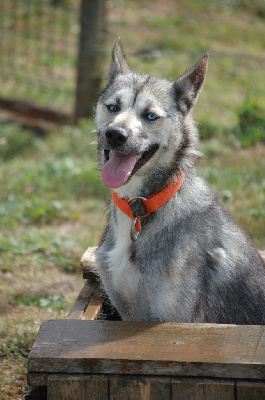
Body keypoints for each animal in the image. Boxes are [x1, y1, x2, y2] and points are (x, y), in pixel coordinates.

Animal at [94, 39, 264, 324]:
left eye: (150, 116)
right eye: (113, 107)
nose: (115, 135)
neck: (141, 206)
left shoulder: (168, 319)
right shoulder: (125, 310)